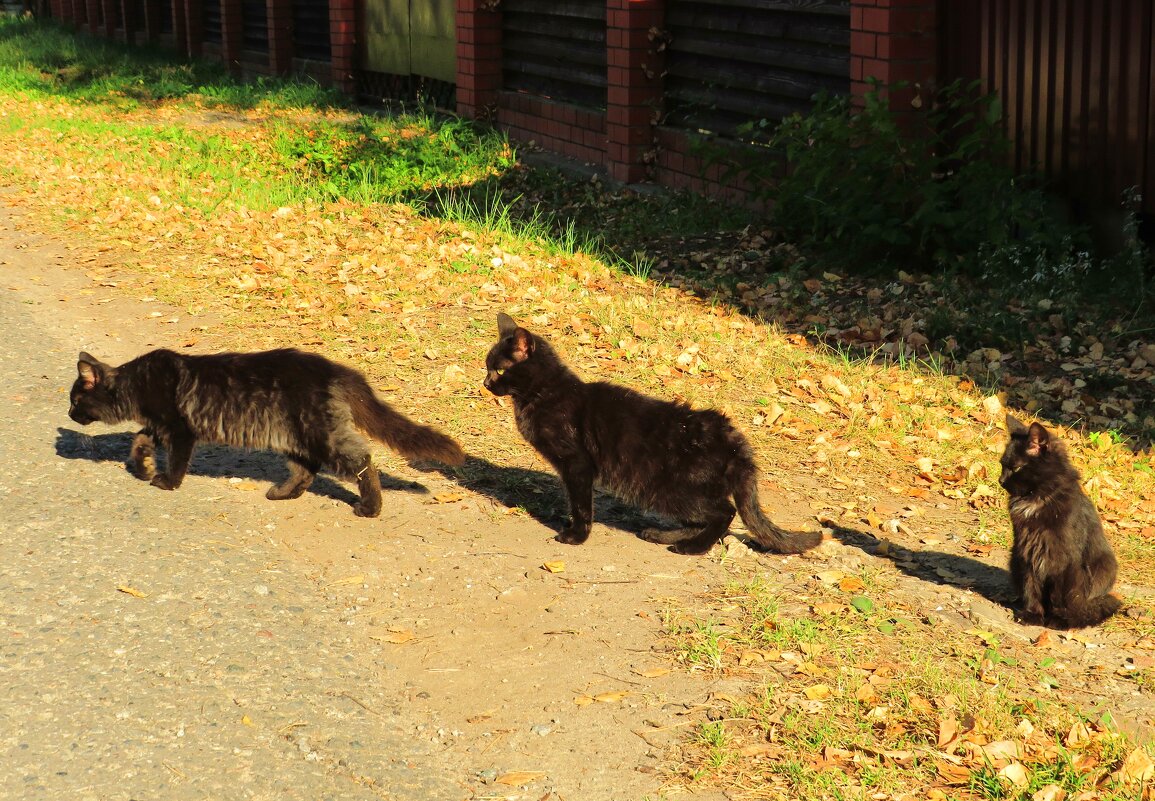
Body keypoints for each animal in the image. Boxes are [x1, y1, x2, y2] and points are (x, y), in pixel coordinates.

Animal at [67, 348, 462, 517]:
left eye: (75, 398)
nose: (69, 413)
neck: (134, 384)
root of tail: (337, 370)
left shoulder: (180, 430)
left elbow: (174, 459)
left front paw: (166, 481)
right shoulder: (159, 426)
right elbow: (139, 439)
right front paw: (143, 466)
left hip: (317, 433)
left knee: (362, 460)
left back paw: (371, 507)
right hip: (290, 435)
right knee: (307, 469)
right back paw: (283, 493)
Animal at [480, 313, 822, 558]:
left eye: (499, 370)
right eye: (487, 367)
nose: (485, 383)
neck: (544, 393)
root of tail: (736, 442)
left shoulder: (577, 464)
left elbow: (580, 504)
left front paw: (576, 535)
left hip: (670, 489)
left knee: (724, 512)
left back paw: (692, 548)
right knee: (703, 519)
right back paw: (659, 535)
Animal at [1002, 417, 1118, 632]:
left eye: (1016, 468)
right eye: (1002, 465)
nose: (1001, 480)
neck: (1038, 497)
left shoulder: (1064, 560)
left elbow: (1059, 596)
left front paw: (1058, 620)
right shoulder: (1026, 551)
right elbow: (1031, 587)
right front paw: (1032, 615)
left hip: (1104, 568)